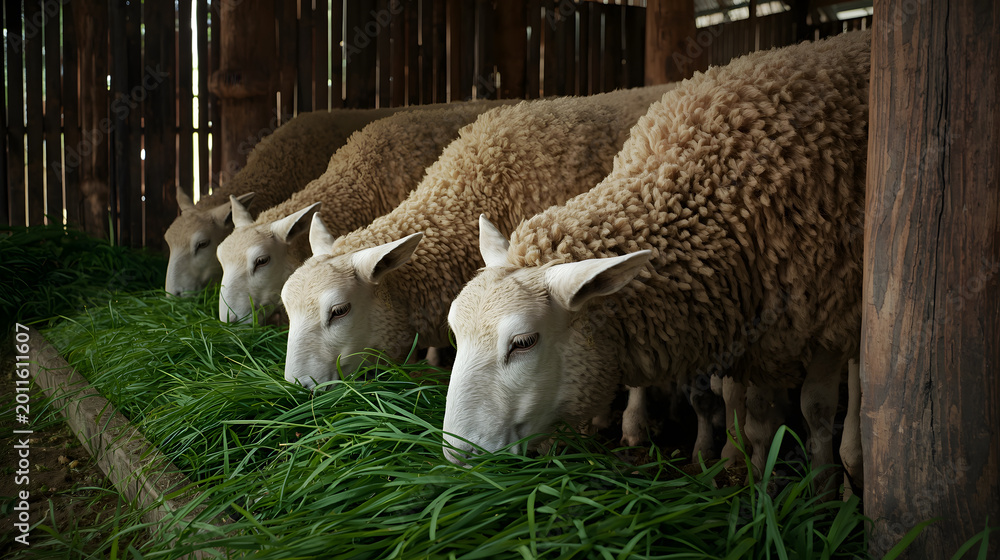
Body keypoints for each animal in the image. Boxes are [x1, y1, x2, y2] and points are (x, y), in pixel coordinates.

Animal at [441, 29, 870, 485]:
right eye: (455, 334)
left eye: (524, 343)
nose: (456, 456)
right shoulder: (753, 328)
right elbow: (753, 413)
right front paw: (750, 468)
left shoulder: (826, 311)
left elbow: (815, 408)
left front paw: (818, 484)